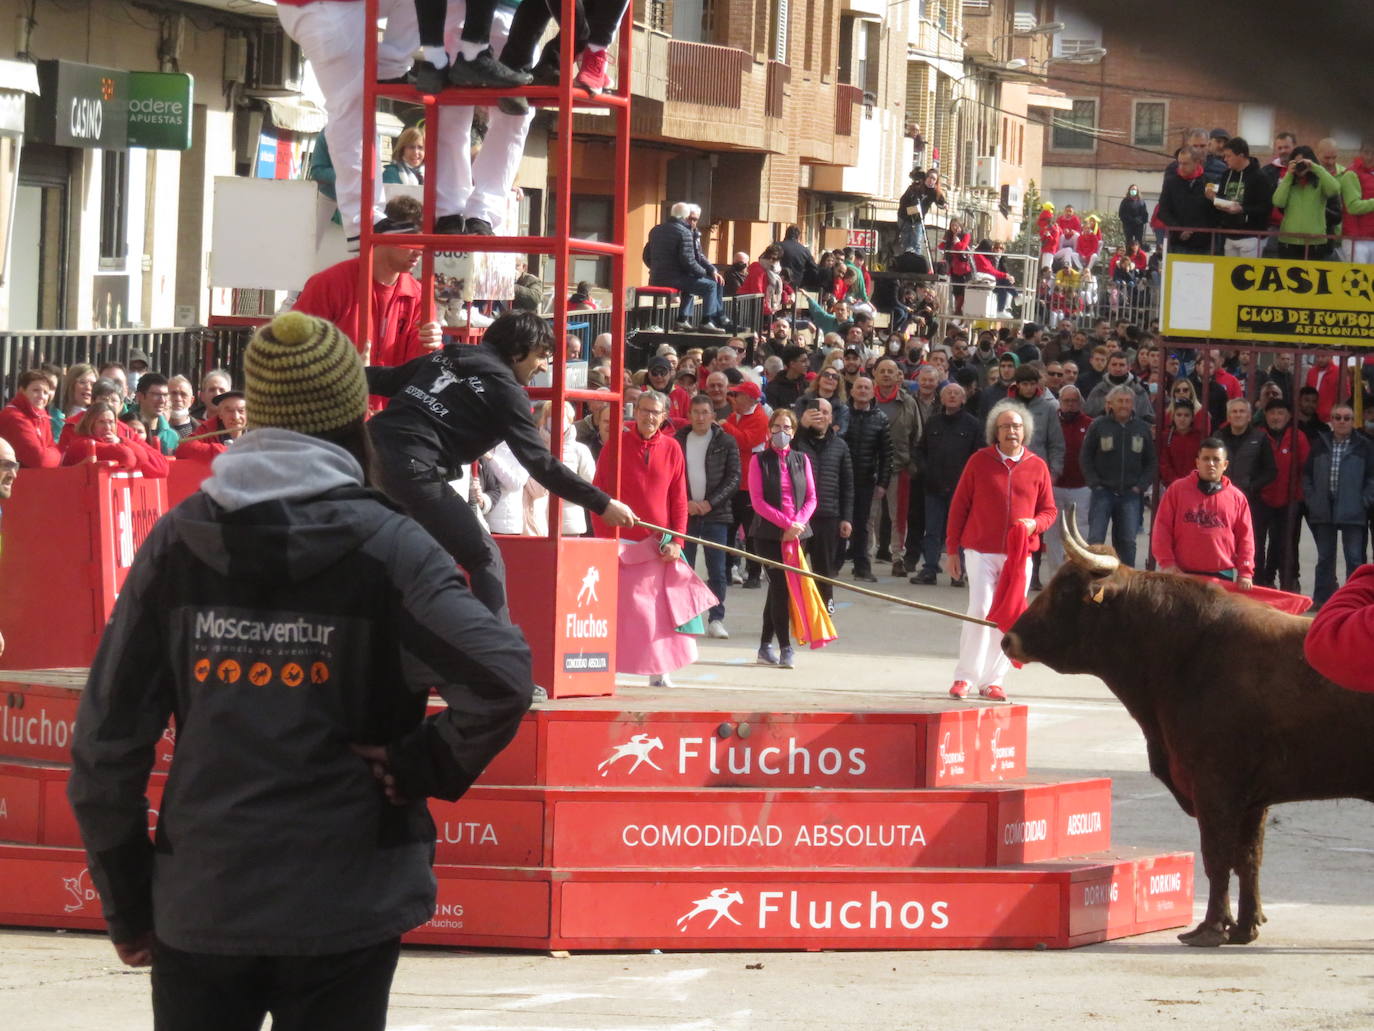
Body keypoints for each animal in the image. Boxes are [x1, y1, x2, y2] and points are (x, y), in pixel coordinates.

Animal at [1000, 514, 1374, 951]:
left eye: (1064, 591)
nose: (1008, 639)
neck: (1185, 650)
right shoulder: (1253, 799)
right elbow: (1248, 859)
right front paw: (1245, 926)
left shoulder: (1214, 784)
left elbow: (1217, 857)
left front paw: (1211, 927)